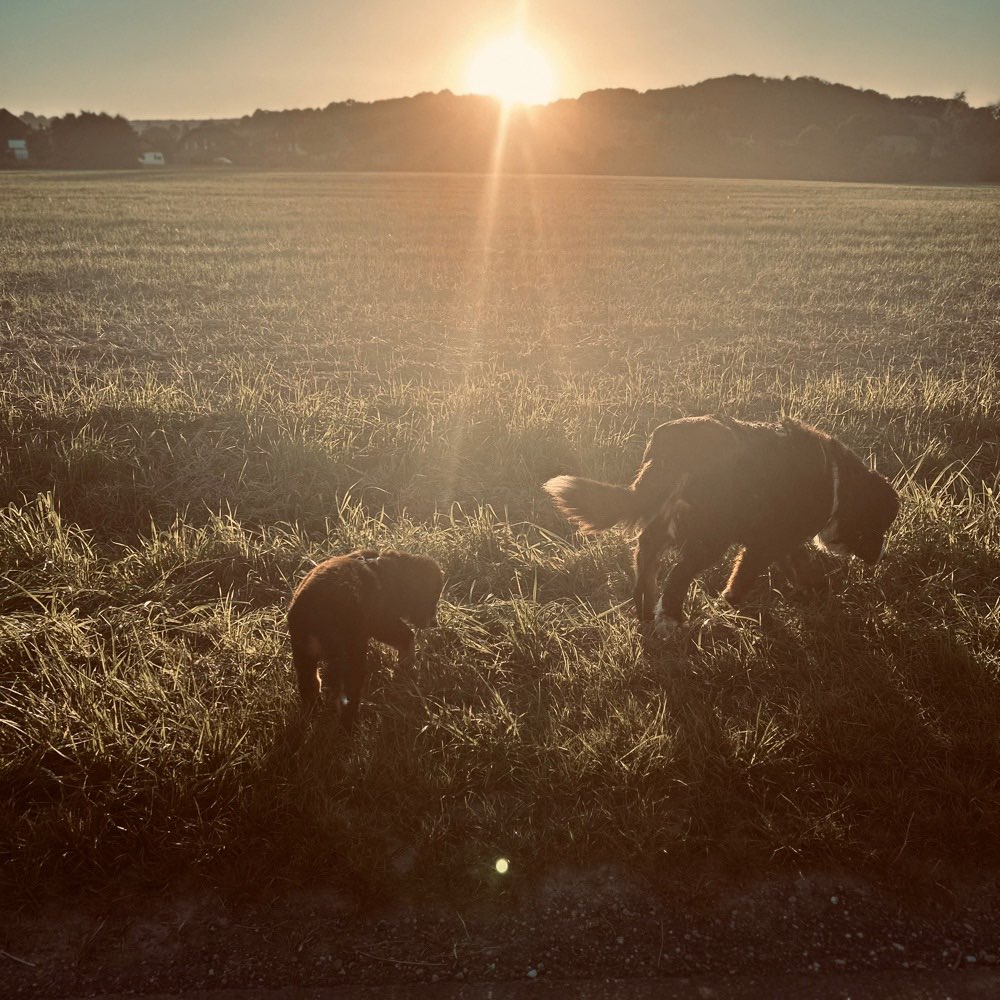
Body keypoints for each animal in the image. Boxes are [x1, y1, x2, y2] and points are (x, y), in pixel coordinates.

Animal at [290, 552, 446, 732]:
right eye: (432, 599)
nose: (434, 623)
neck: (386, 574)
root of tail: (313, 617)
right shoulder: (382, 623)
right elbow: (407, 637)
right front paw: (407, 665)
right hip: (351, 656)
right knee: (347, 697)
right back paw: (352, 727)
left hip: (304, 655)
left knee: (310, 684)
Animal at [544, 416, 904, 636]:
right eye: (879, 524)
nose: (882, 556)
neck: (838, 482)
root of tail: (674, 445)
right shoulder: (765, 543)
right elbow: (743, 577)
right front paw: (731, 605)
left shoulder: (780, 538)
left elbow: (801, 567)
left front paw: (816, 593)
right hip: (711, 534)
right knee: (678, 574)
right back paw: (671, 618)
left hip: (671, 520)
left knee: (646, 555)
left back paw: (645, 609)